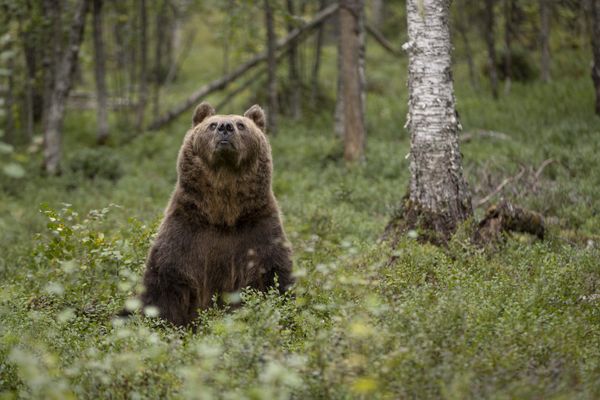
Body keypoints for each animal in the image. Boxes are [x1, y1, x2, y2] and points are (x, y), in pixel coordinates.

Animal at [137, 103, 296, 328]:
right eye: (212, 125)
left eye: (241, 124)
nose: (225, 127)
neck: (222, 213)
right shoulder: (186, 229)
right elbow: (165, 282)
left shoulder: (258, 228)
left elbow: (271, 276)